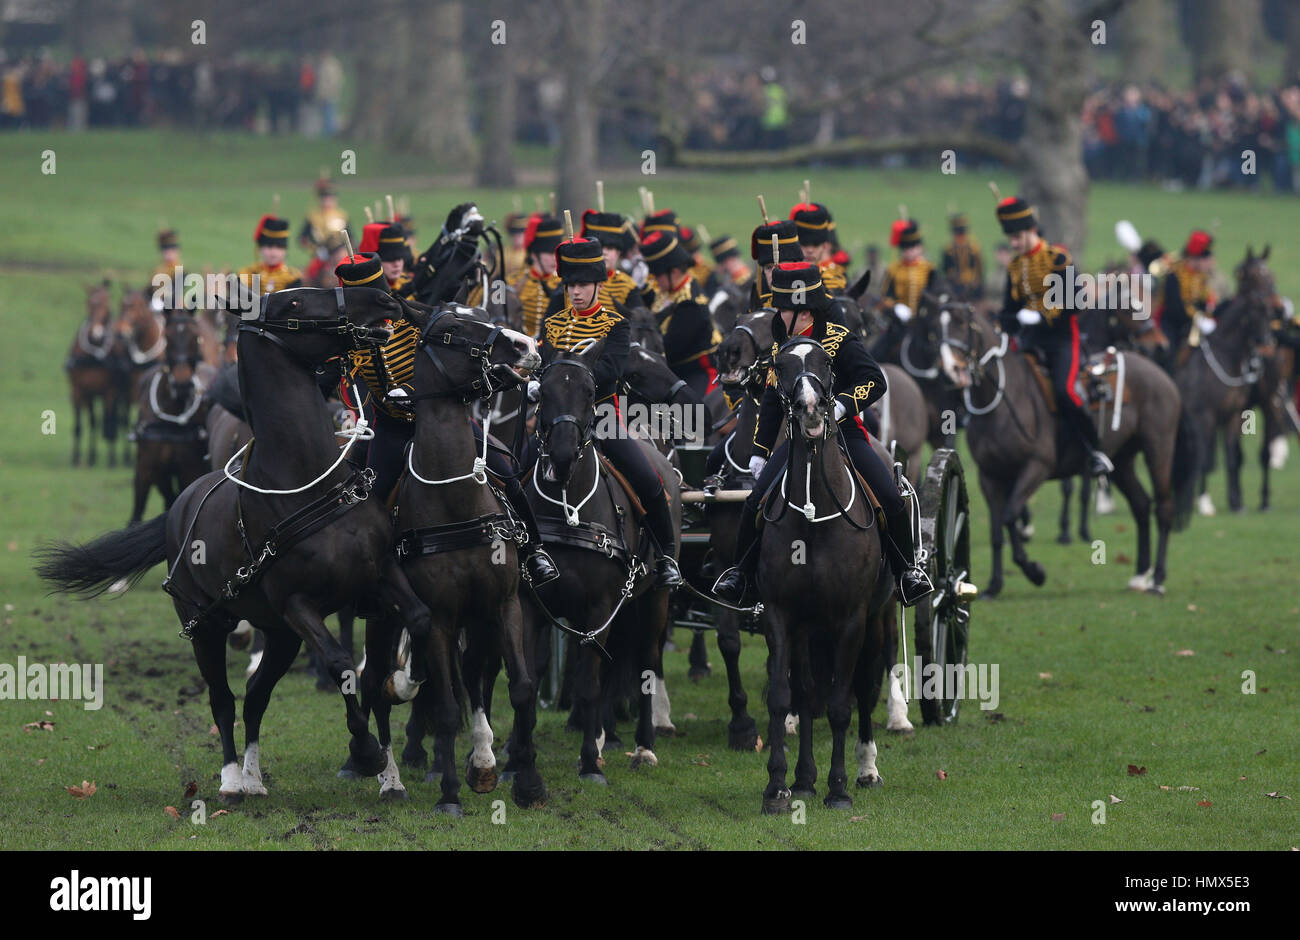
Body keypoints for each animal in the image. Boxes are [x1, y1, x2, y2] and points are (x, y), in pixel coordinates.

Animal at [935, 302, 1196, 595]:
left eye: (960, 323)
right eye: (937, 329)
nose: (949, 370)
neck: (1003, 399)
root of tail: (1162, 374)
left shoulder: (1036, 467)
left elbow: (1010, 515)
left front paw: (1034, 571)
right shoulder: (989, 477)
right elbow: (997, 530)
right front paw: (994, 585)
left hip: (1158, 450)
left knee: (1163, 508)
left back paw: (1158, 578)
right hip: (1122, 461)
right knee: (1140, 505)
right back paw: (1140, 574)